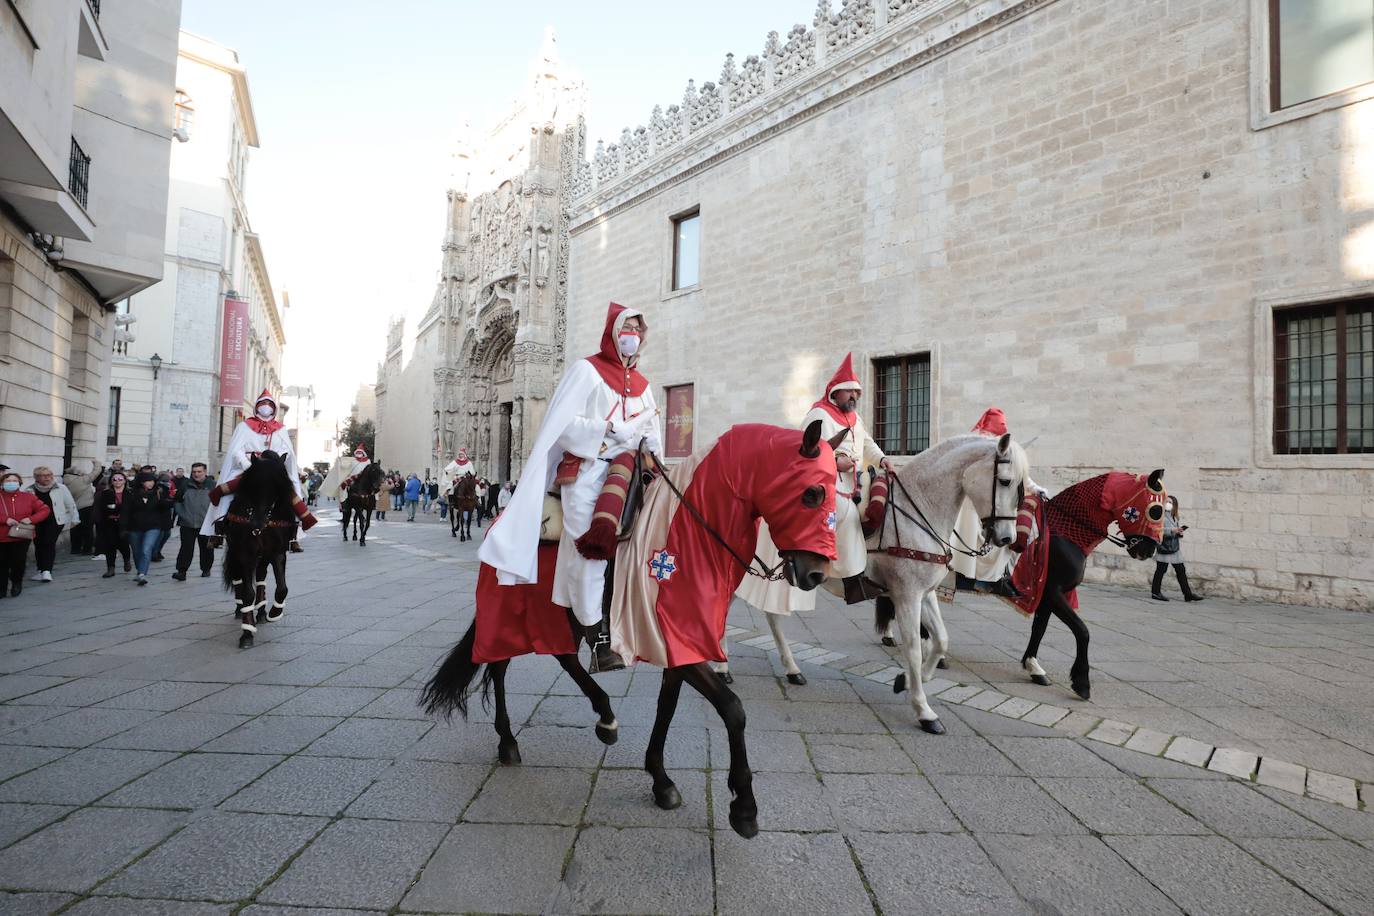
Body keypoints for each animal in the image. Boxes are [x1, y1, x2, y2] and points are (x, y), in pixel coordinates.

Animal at [221, 450, 296, 648]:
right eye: (253, 484)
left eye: (278, 486)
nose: (256, 524)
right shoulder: (246, 554)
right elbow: (248, 592)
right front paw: (247, 633)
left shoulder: (278, 553)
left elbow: (282, 588)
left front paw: (274, 613)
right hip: (236, 552)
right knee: (238, 579)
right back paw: (240, 609)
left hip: (264, 557)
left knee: (261, 578)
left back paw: (261, 612)